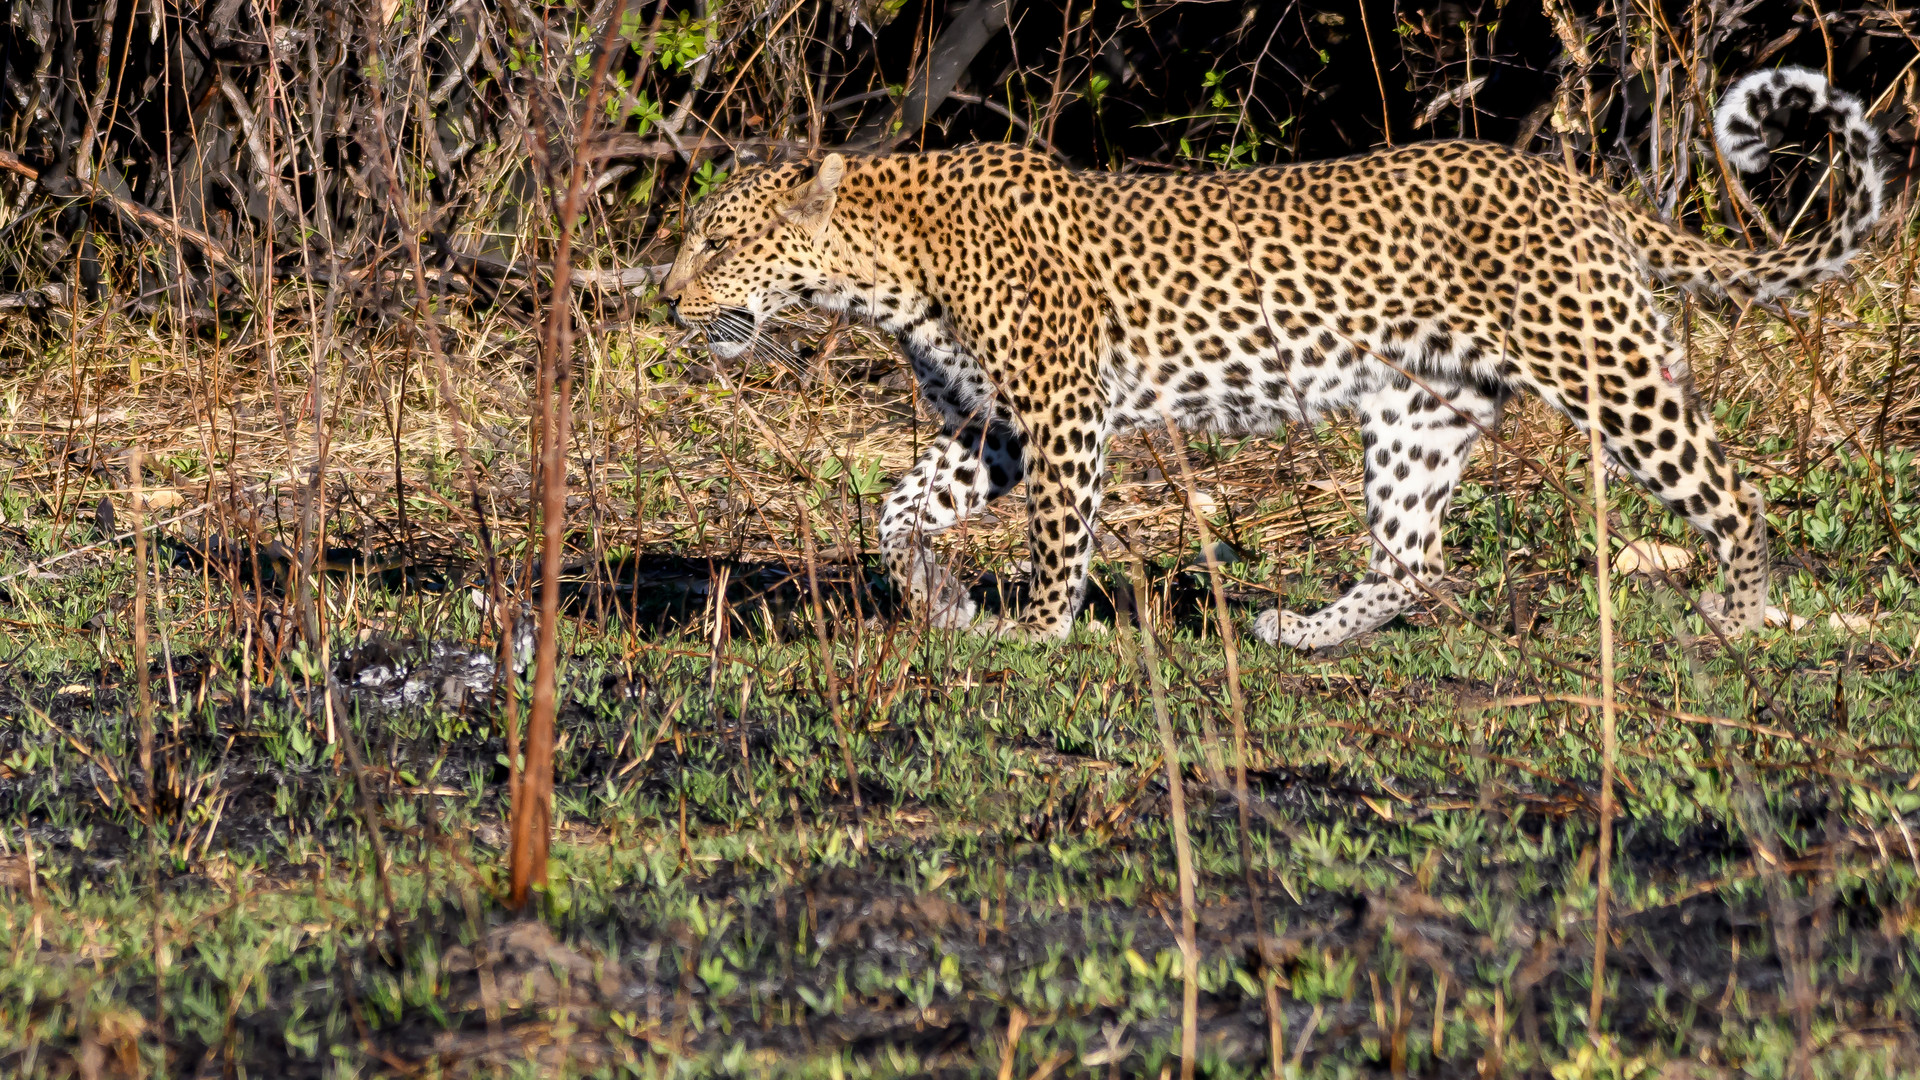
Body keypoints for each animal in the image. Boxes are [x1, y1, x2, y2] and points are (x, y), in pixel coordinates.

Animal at [656, 71, 1873, 645]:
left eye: (715, 240)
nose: (667, 299)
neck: (886, 264)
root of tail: (1582, 188)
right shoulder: (991, 425)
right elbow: (896, 511)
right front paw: (941, 604)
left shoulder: (1063, 410)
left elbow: (1058, 538)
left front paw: (1041, 632)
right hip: (1421, 409)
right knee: (1409, 556)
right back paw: (1303, 635)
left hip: (1607, 371)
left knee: (1736, 493)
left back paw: (1737, 618)